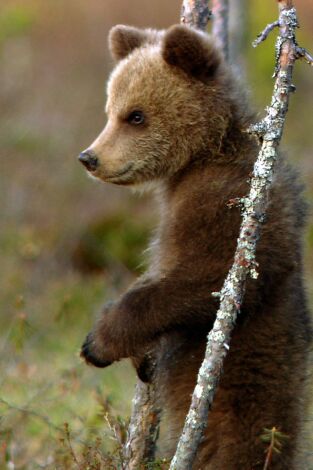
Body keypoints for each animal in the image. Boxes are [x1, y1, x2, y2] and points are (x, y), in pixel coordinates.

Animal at [77, 25, 310, 470]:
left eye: (136, 115)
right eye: (110, 109)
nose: (90, 157)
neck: (205, 154)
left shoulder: (225, 206)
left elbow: (207, 281)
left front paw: (99, 340)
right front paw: (142, 357)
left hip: (240, 399)